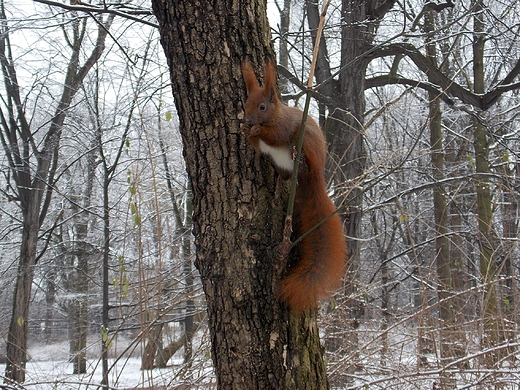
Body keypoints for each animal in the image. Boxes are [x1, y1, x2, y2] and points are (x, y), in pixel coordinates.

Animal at [242, 61, 348, 314]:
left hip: (306, 141)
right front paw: (245, 131)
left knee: (303, 162)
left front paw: (258, 131)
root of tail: (316, 176)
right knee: (286, 176)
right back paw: (279, 186)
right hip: (283, 166)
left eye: (262, 106)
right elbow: (255, 144)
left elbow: (274, 135)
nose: (248, 121)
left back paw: (301, 162)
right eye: (245, 103)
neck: (275, 115)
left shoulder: (283, 127)